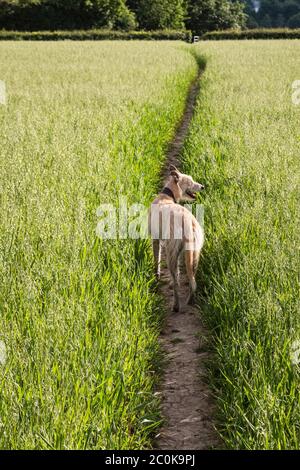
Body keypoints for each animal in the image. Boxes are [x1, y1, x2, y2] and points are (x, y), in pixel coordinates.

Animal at [149, 165, 205, 312]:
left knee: (176, 282)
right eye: (190, 181)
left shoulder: (156, 240)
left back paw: (176, 305)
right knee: (192, 279)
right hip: (194, 253)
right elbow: (180, 274)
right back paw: (190, 300)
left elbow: (156, 261)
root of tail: (188, 222)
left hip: (171, 253)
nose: (203, 187)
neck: (166, 196)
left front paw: (156, 277)